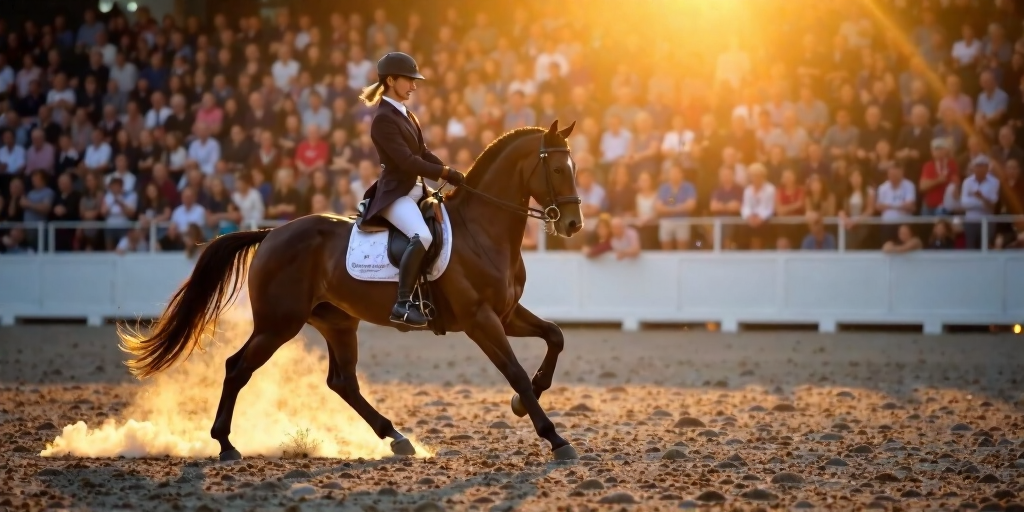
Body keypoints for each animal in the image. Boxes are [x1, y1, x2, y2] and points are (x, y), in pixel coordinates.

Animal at [119, 120, 585, 464]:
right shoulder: (480, 319)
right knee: (238, 368)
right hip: (278, 324)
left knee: (342, 381)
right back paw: (226, 444)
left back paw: (396, 437)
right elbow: (516, 371)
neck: (481, 230)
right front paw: (555, 437)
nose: (573, 225)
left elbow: (556, 336)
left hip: (337, 321)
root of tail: (272, 233)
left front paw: (525, 401)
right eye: (558, 169)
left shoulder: (506, 312)